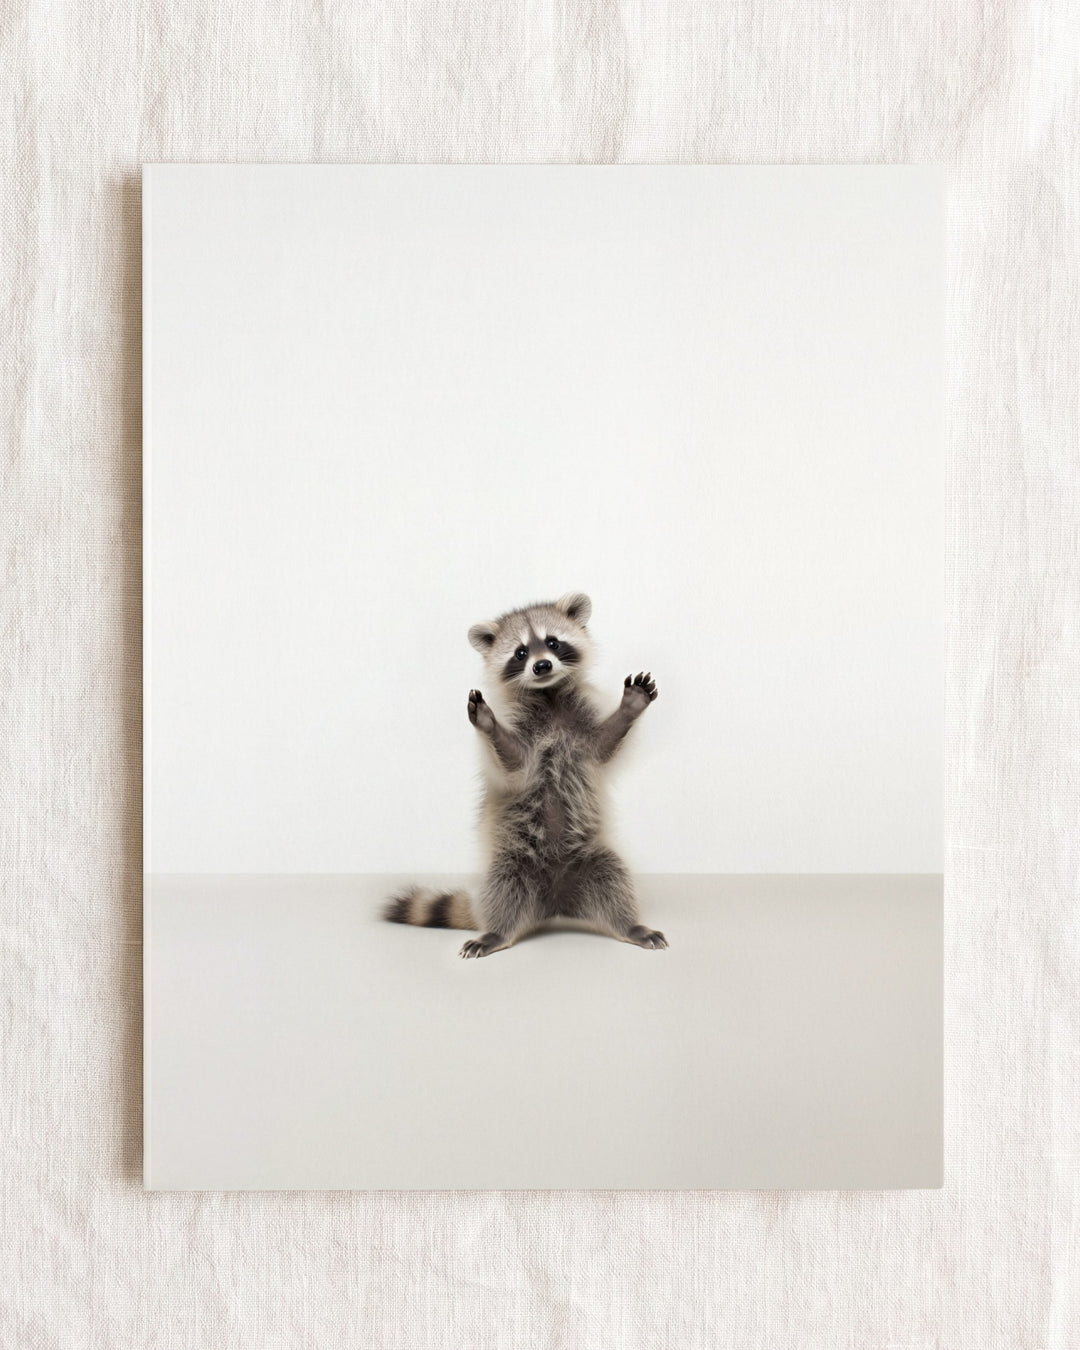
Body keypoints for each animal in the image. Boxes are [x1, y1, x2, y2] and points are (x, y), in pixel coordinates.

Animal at [383, 592, 667, 958]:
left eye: (553, 642)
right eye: (520, 652)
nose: (542, 665)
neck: (549, 694)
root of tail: (556, 904)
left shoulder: (582, 727)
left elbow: (603, 748)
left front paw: (629, 708)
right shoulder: (521, 732)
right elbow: (514, 765)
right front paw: (489, 724)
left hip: (592, 857)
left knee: (614, 878)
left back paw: (630, 926)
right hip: (512, 862)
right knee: (504, 889)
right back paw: (497, 932)